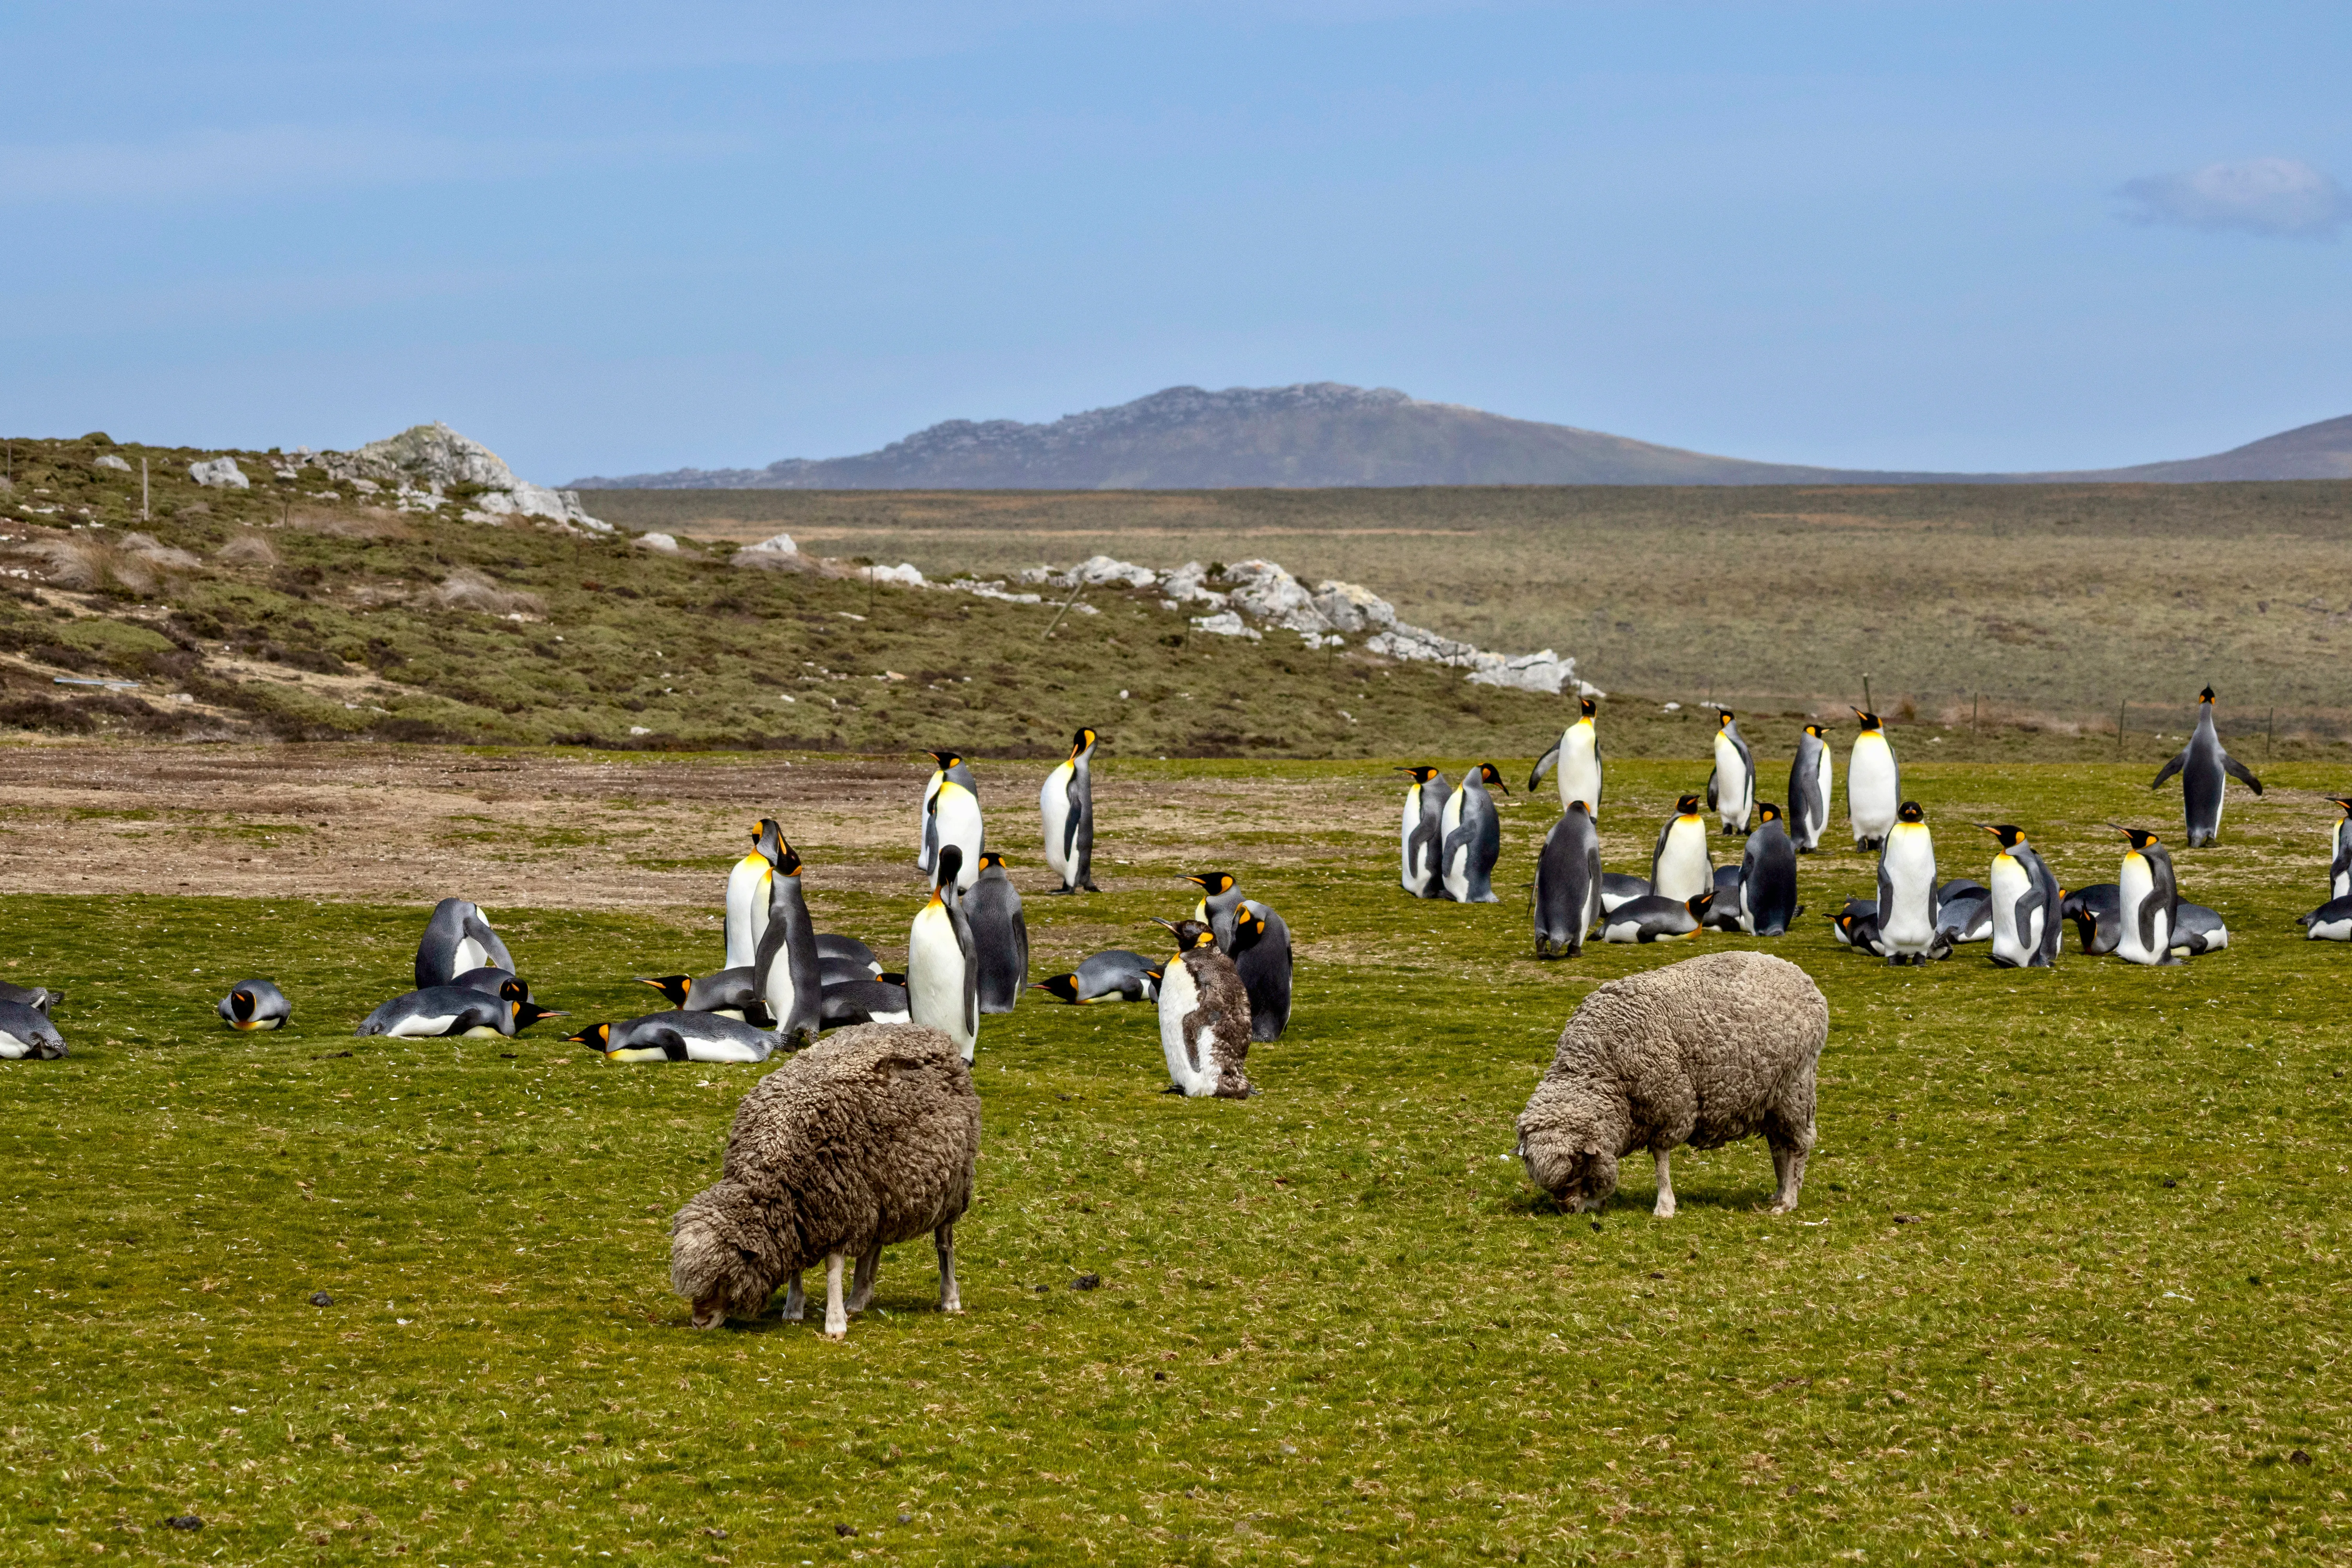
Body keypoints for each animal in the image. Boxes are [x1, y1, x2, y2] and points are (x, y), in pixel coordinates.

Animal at [670, 1020, 981, 1340]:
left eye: (723, 1277)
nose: (699, 1323)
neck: (775, 1150)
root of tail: (929, 1032)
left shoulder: (835, 1205)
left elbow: (833, 1268)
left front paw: (834, 1322)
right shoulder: (803, 1209)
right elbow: (798, 1263)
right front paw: (794, 1308)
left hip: (952, 1188)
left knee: (944, 1244)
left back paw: (949, 1298)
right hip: (878, 1187)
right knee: (873, 1244)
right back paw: (858, 1298)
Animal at [1515, 950, 1825, 1218]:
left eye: (1577, 1164)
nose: (1566, 1210)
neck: (1601, 1066)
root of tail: (1799, 974)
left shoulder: (1669, 1104)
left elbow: (1660, 1160)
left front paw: (1664, 1207)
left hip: (1797, 1085)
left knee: (1798, 1145)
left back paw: (1787, 1201)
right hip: (1773, 1094)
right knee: (1779, 1144)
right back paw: (1779, 1193)